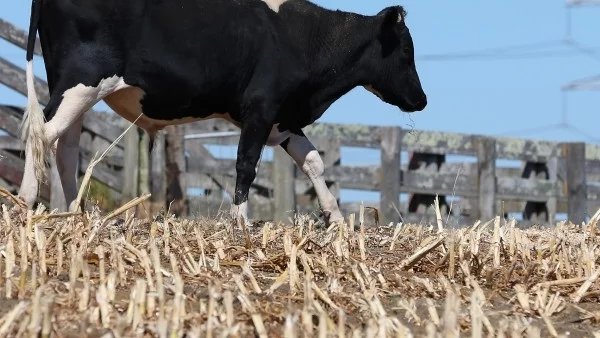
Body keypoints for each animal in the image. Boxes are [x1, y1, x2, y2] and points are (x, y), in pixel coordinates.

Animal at [17, 0, 426, 227]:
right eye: (406, 51)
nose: (422, 100)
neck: (302, 38)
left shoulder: (283, 117)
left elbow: (313, 162)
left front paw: (336, 219)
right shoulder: (260, 109)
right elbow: (246, 165)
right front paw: (240, 221)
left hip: (72, 89)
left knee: (66, 147)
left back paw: (74, 212)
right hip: (82, 81)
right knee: (44, 134)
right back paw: (25, 201)